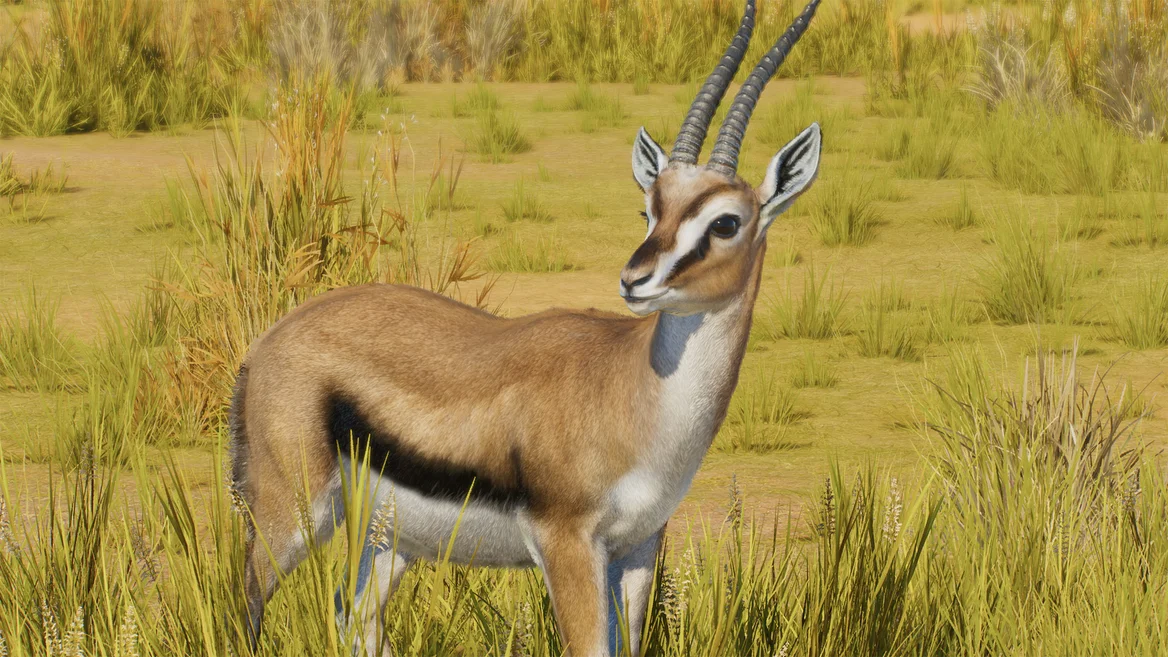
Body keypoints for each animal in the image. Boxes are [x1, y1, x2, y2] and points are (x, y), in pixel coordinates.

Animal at [230, 1, 823, 654]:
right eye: (650, 208)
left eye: (725, 222)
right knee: (246, 600)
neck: (636, 390)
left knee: (352, 616)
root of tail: (265, 343)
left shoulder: (639, 546)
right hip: (294, 517)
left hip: (389, 539)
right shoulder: (567, 544)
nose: (634, 281)